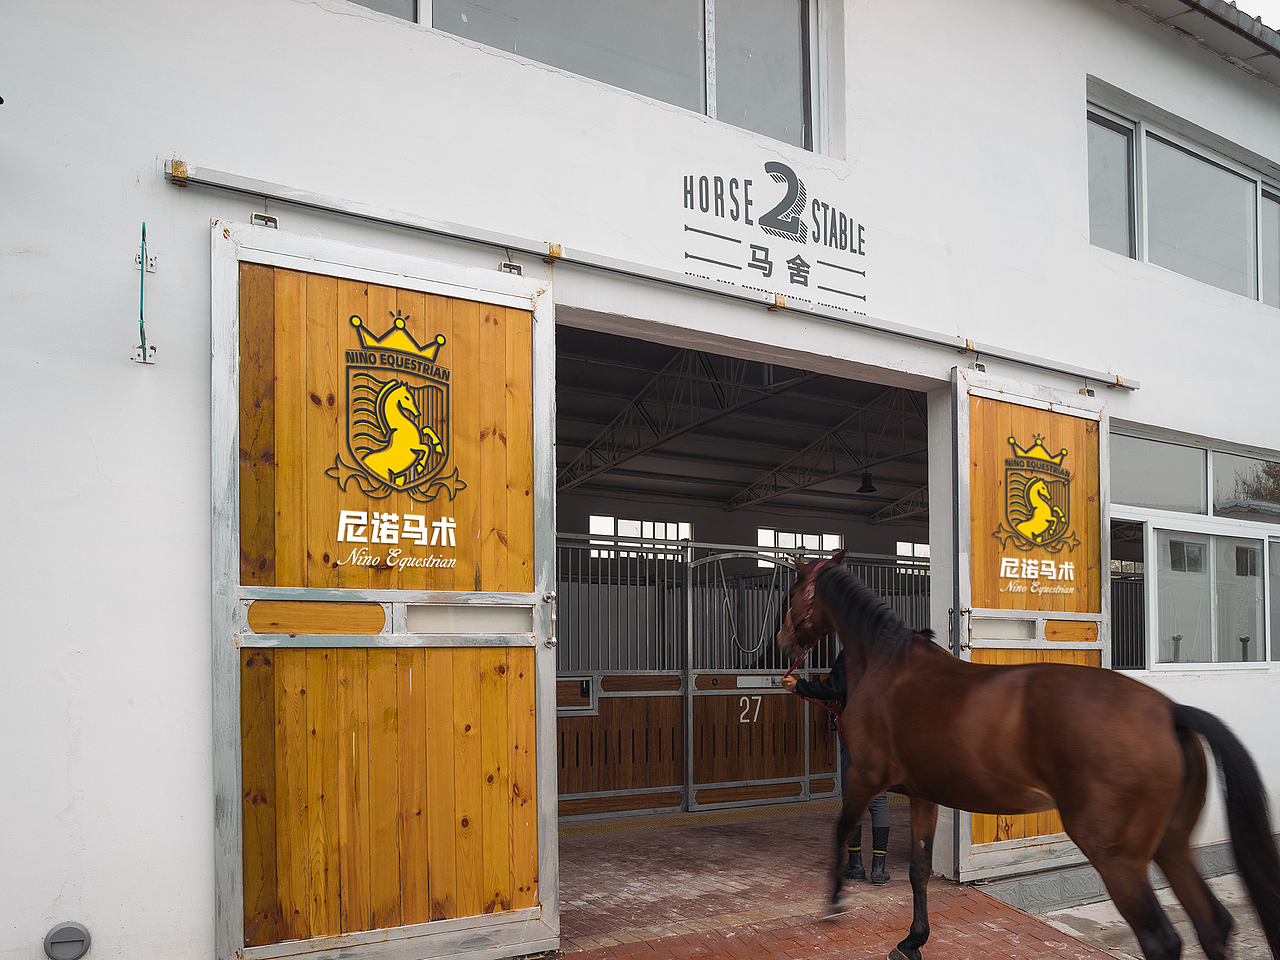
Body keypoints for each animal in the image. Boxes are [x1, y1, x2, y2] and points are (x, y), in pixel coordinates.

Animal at [777, 553, 1280, 960]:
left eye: (793, 591)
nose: (782, 641)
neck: (889, 665)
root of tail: (1170, 712)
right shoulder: (923, 794)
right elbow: (918, 871)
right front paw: (912, 941)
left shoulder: (865, 777)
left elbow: (841, 829)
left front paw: (835, 899)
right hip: (1172, 846)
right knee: (1212, 924)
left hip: (1118, 858)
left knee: (1162, 940)